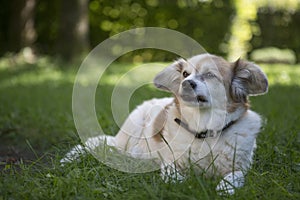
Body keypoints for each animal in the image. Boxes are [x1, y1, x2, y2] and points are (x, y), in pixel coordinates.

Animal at [61, 54, 268, 195]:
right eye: (185, 73)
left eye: (210, 75)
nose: (186, 83)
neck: (204, 131)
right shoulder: (171, 161)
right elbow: (173, 176)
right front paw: (182, 183)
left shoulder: (240, 166)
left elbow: (235, 177)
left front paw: (226, 188)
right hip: (131, 132)